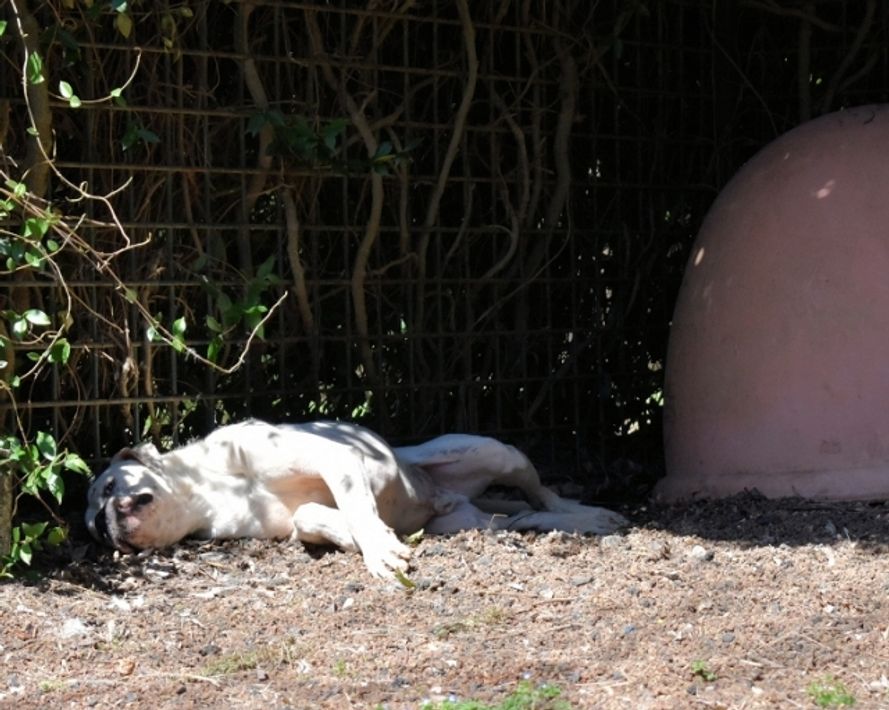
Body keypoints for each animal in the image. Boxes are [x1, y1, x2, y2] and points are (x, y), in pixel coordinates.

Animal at [85, 420, 627, 578]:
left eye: (108, 487)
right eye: (94, 531)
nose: (104, 520)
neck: (204, 491)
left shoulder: (335, 456)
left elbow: (355, 506)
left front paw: (377, 549)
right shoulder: (291, 517)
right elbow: (314, 515)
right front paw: (357, 540)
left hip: (498, 453)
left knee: (543, 495)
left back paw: (590, 516)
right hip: (466, 521)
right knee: (518, 517)